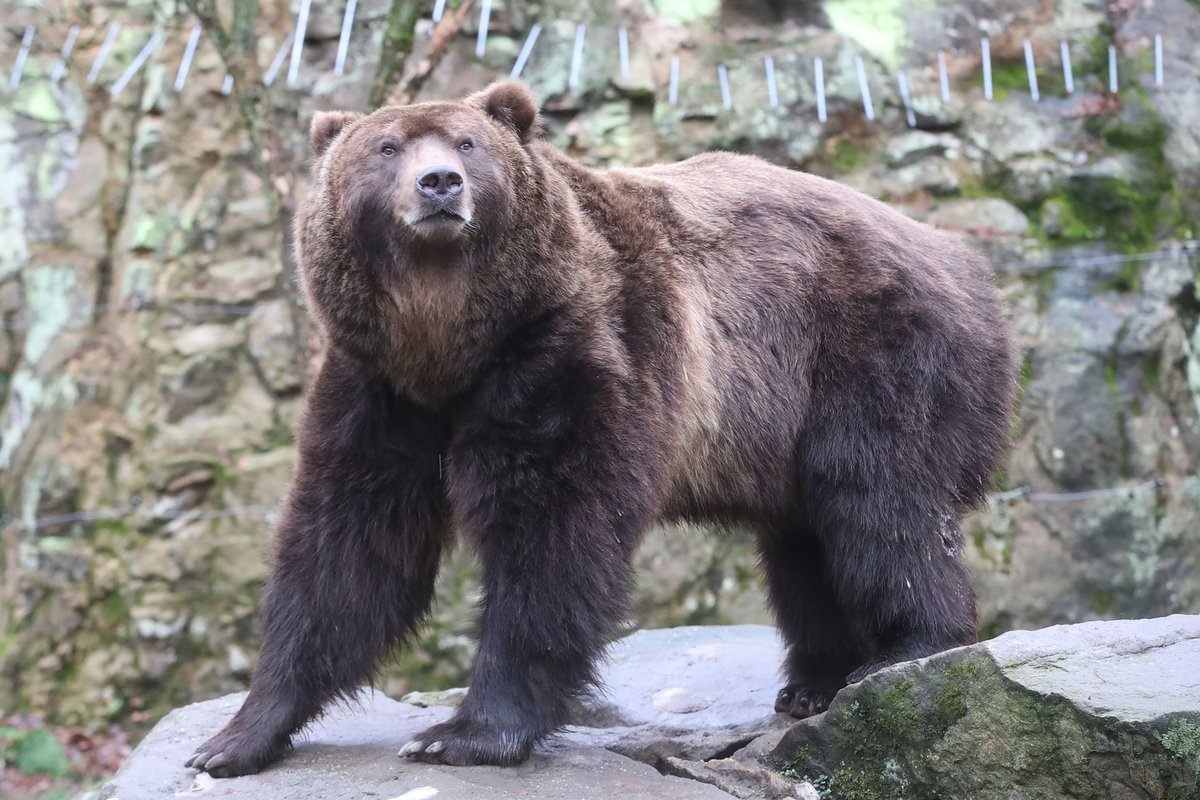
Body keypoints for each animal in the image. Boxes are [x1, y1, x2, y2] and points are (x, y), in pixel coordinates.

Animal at [184, 81, 1012, 777]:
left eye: (466, 143)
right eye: (386, 147)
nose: (439, 183)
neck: (451, 341)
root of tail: (960, 257)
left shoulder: (571, 350)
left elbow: (551, 534)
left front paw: (462, 733)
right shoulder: (379, 387)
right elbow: (346, 544)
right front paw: (234, 737)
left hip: (869, 349)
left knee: (876, 498)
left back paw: (903, 651)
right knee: (804, 540)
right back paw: (813, 681)